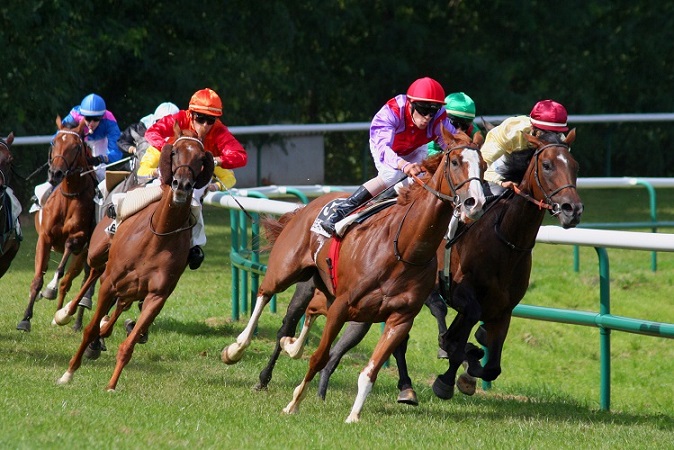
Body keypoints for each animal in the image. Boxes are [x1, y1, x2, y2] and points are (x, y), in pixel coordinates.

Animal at [16, 118, 96, 332]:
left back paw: (71, 319)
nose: (56, 173)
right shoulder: (44, 238)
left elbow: (66, 253)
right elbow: (37, 279)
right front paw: (25, 319)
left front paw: (50, 289)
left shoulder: (80, 237)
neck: (69, 196)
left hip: (85, 253)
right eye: (54, 142)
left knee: (73, 281)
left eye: (76, 146)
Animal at [55, 125, 213, 390]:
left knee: (121, 303)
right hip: (98, 253)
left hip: (132, 287)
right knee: (94, 272)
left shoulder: (157, 296)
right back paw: (65, 312)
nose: (182, 185)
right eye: (174, 152)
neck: (158, 236)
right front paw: (68, 372)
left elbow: (128, 344)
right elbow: (89, 329)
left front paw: (111, 385)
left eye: (201, 159)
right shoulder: (110, 283)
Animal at [220, 129, 484, 422]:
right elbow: (319, 356)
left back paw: (291, 345)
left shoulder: (400, 318)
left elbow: (370, 371)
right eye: (456, 162)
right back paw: (236, 349)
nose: (475, 203)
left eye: (484, 166)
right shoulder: (343, 305)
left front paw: (354, 416)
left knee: (309, 311)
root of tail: (307, 207)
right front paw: (294, 403)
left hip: (325, 288)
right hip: (285, 271)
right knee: (265, 295)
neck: (404, 248)